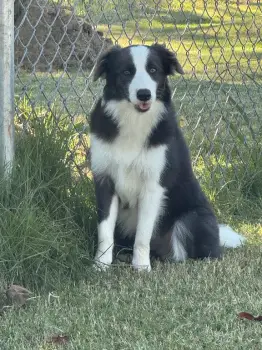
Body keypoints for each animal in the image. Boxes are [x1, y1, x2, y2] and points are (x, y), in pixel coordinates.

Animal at [89, 43, 246, 272]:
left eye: (153, 70)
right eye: (126, 72)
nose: (144, 94)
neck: (134, 122)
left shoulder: (153, 187)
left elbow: (143, 234)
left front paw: (141, 267)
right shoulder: (104, 181)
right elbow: (105, 231)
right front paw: (101, 264)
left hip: (193, 219)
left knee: (184, 252)